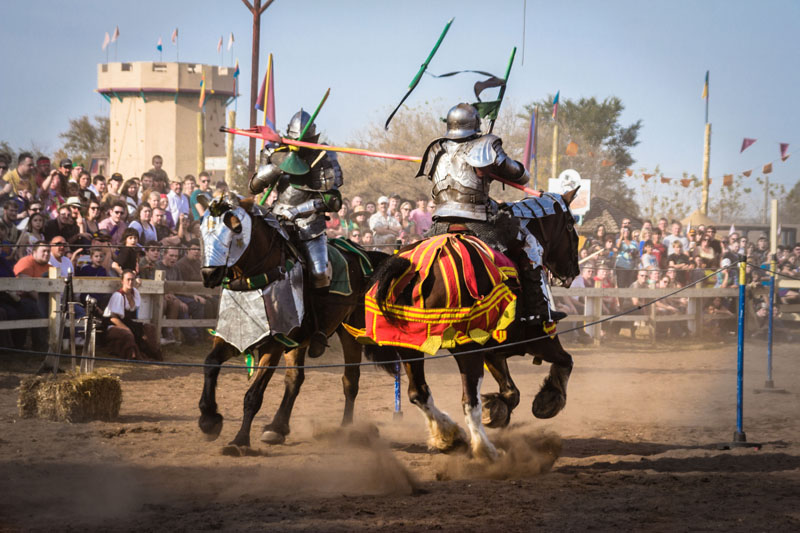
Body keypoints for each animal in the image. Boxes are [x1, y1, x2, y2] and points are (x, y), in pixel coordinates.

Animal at [197, 195, 390, 454]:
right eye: (203, 227)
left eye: (237, 228)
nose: (210, 274)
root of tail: (365, 255)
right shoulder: (232, 337)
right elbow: (210, 364)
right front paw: (209, 419)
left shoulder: (274, 345)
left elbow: (253, 396)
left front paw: (239, 441)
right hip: (298, 341)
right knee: (295, 380)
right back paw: (277, 427)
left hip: (350, 332)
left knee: (350, 380)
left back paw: (347, 430)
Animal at [364, 190, 580, 458]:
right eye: (570, 225)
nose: (573, 271)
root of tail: (411, 268)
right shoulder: (539, 339)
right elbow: (565, 361)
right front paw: (548, 400)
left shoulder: (493, 348)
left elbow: (511, 391)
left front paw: (496, 409)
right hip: (466, 349)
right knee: (468, 402)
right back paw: (486, 450)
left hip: (409, 347)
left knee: (419, 394)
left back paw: (450, 436)